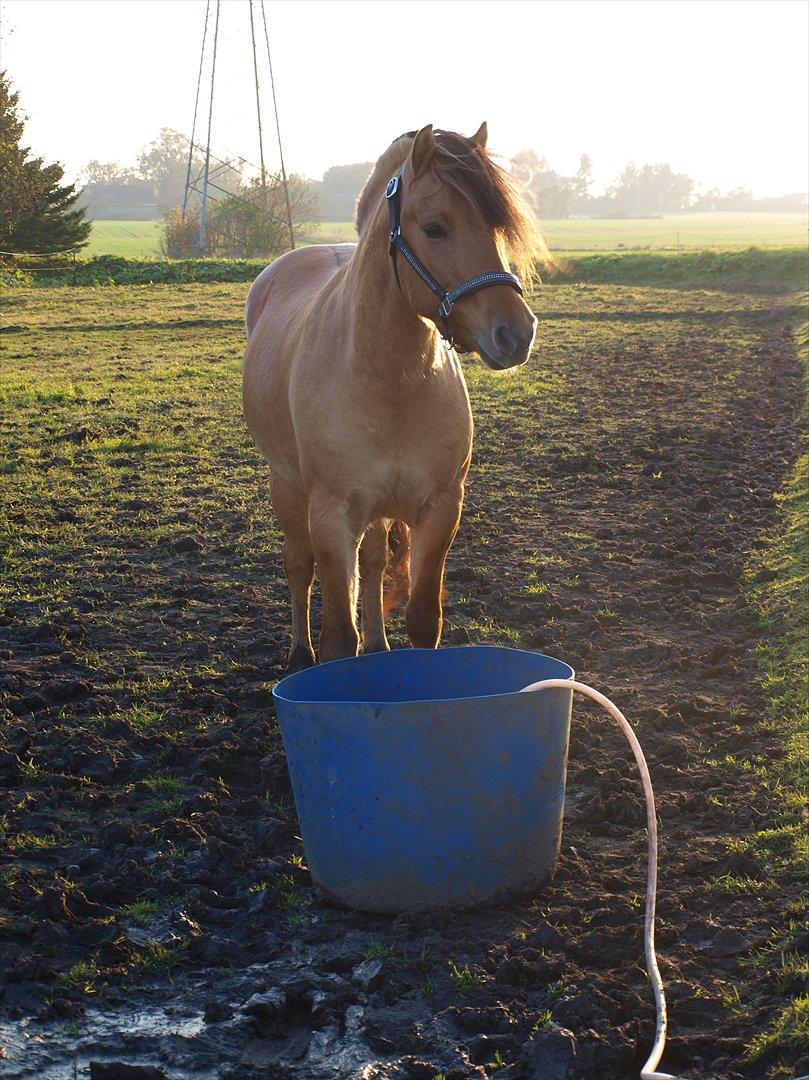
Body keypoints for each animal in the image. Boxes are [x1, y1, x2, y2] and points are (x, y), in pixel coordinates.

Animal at [243, 123, 544, 671]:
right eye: (435, 228)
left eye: (497, 228)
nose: (516, 333)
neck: (389, 383)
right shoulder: (331, 516)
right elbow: (340, 635)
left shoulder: (441, 509)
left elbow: (422, 618)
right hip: (286, 486)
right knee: (298, 566)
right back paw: (298, 651)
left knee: (375, 562)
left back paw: (379, 645)